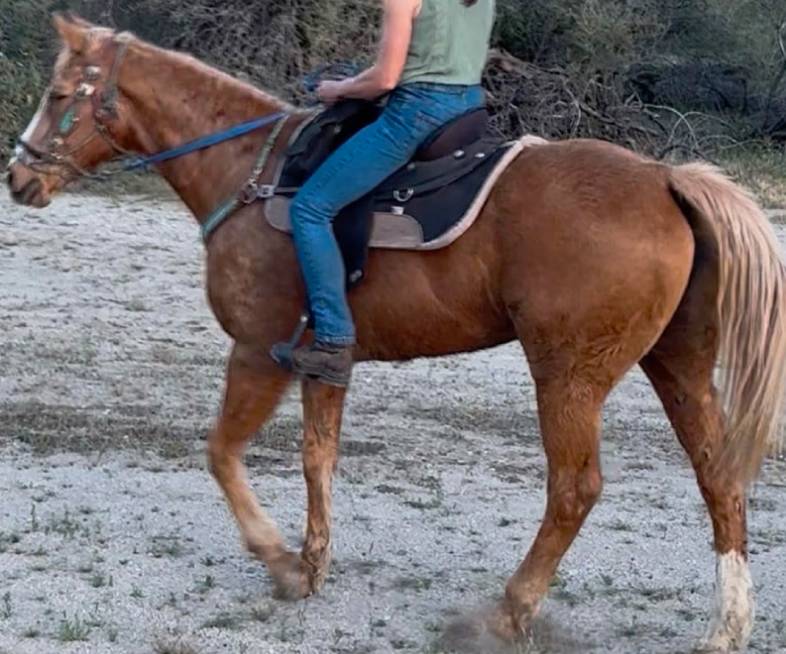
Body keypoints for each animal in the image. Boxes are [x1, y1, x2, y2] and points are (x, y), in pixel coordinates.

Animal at [6, 13, 786, 652]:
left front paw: (279, 561)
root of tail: (665, 180)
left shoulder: (258, 352)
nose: (19, 178)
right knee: (718, 477)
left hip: (568, 373)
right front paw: (313, 562)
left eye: (59, 95)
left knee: (575, 488)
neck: (247, 173)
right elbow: (318, 457)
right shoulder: (322, 357)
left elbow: (223, 454)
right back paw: (726, 626)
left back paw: (510, 611)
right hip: (678, 363)